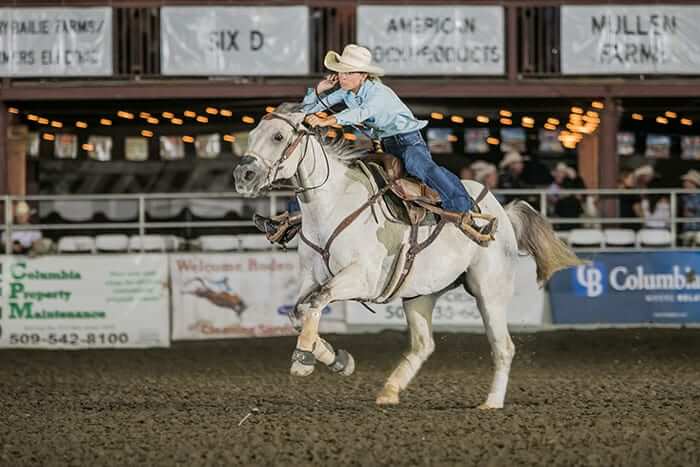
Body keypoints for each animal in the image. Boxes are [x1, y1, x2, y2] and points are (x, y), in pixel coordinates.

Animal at [232, 109, 584, 410]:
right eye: (252, 134)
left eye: (278, 136)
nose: (243, 175)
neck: (331, 206)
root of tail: (501, 213)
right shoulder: (310, 277)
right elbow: (298, 311)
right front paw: (338, 360)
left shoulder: (361, 277)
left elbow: (317, 302)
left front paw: (303, 360)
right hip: (419, 294)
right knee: (423, 345)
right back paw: (390, 391)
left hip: (490, 290)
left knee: (503, 346)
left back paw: (491, 403)